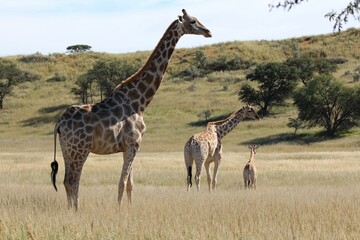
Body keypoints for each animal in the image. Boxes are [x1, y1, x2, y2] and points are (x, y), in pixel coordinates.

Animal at [50, 8, 211, 210]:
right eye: (193, 21)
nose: (208, 31)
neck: (139, 101)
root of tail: (60, 123)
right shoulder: (134, 143)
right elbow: (122, 183)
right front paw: (119, 209)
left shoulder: (131, 146)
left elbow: (130, 184)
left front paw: (128, 208)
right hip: (80, 149)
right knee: (73, 180)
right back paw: (77, 210)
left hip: (67, 149)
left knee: (66, 180)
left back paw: (71, 209)